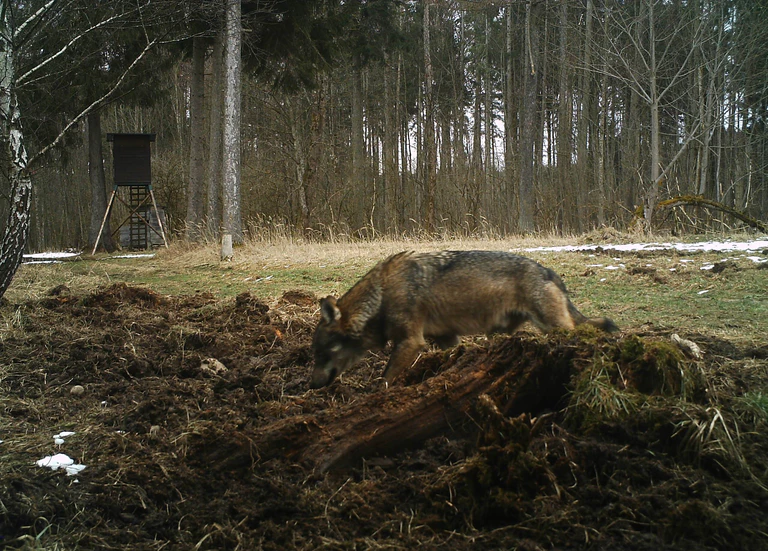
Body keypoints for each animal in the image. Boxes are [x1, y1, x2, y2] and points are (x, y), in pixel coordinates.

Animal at [310, 250, 618, 388]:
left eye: (323, 354)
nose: (311, 385)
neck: (381, 295)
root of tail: (549, 271)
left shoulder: (411, 342)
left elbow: (385, 379)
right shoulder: (447, 338)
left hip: (554, 327)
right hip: (499, 334)